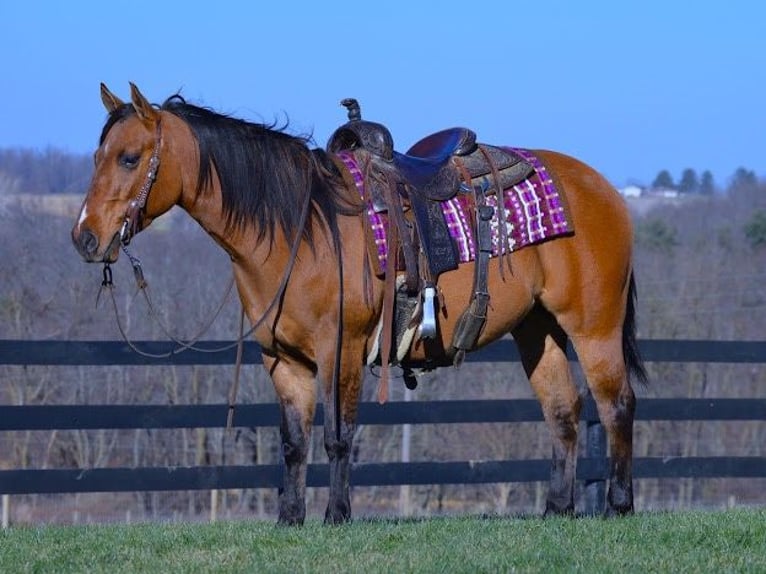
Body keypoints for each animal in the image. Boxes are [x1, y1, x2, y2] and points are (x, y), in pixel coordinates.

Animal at [72, 82, 648, 528]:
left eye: (129, 158)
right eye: (97, 157)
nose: (85, 238)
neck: (300, 228)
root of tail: (605, 189)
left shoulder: (341, 349)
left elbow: (337, 435)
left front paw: (336, 515)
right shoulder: (282, 360)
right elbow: (293, 441)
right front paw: (290, 518)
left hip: (593, 326)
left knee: (616, 404)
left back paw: (618, 504)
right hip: (537, 329)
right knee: (564, 411)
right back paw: (557, 508)